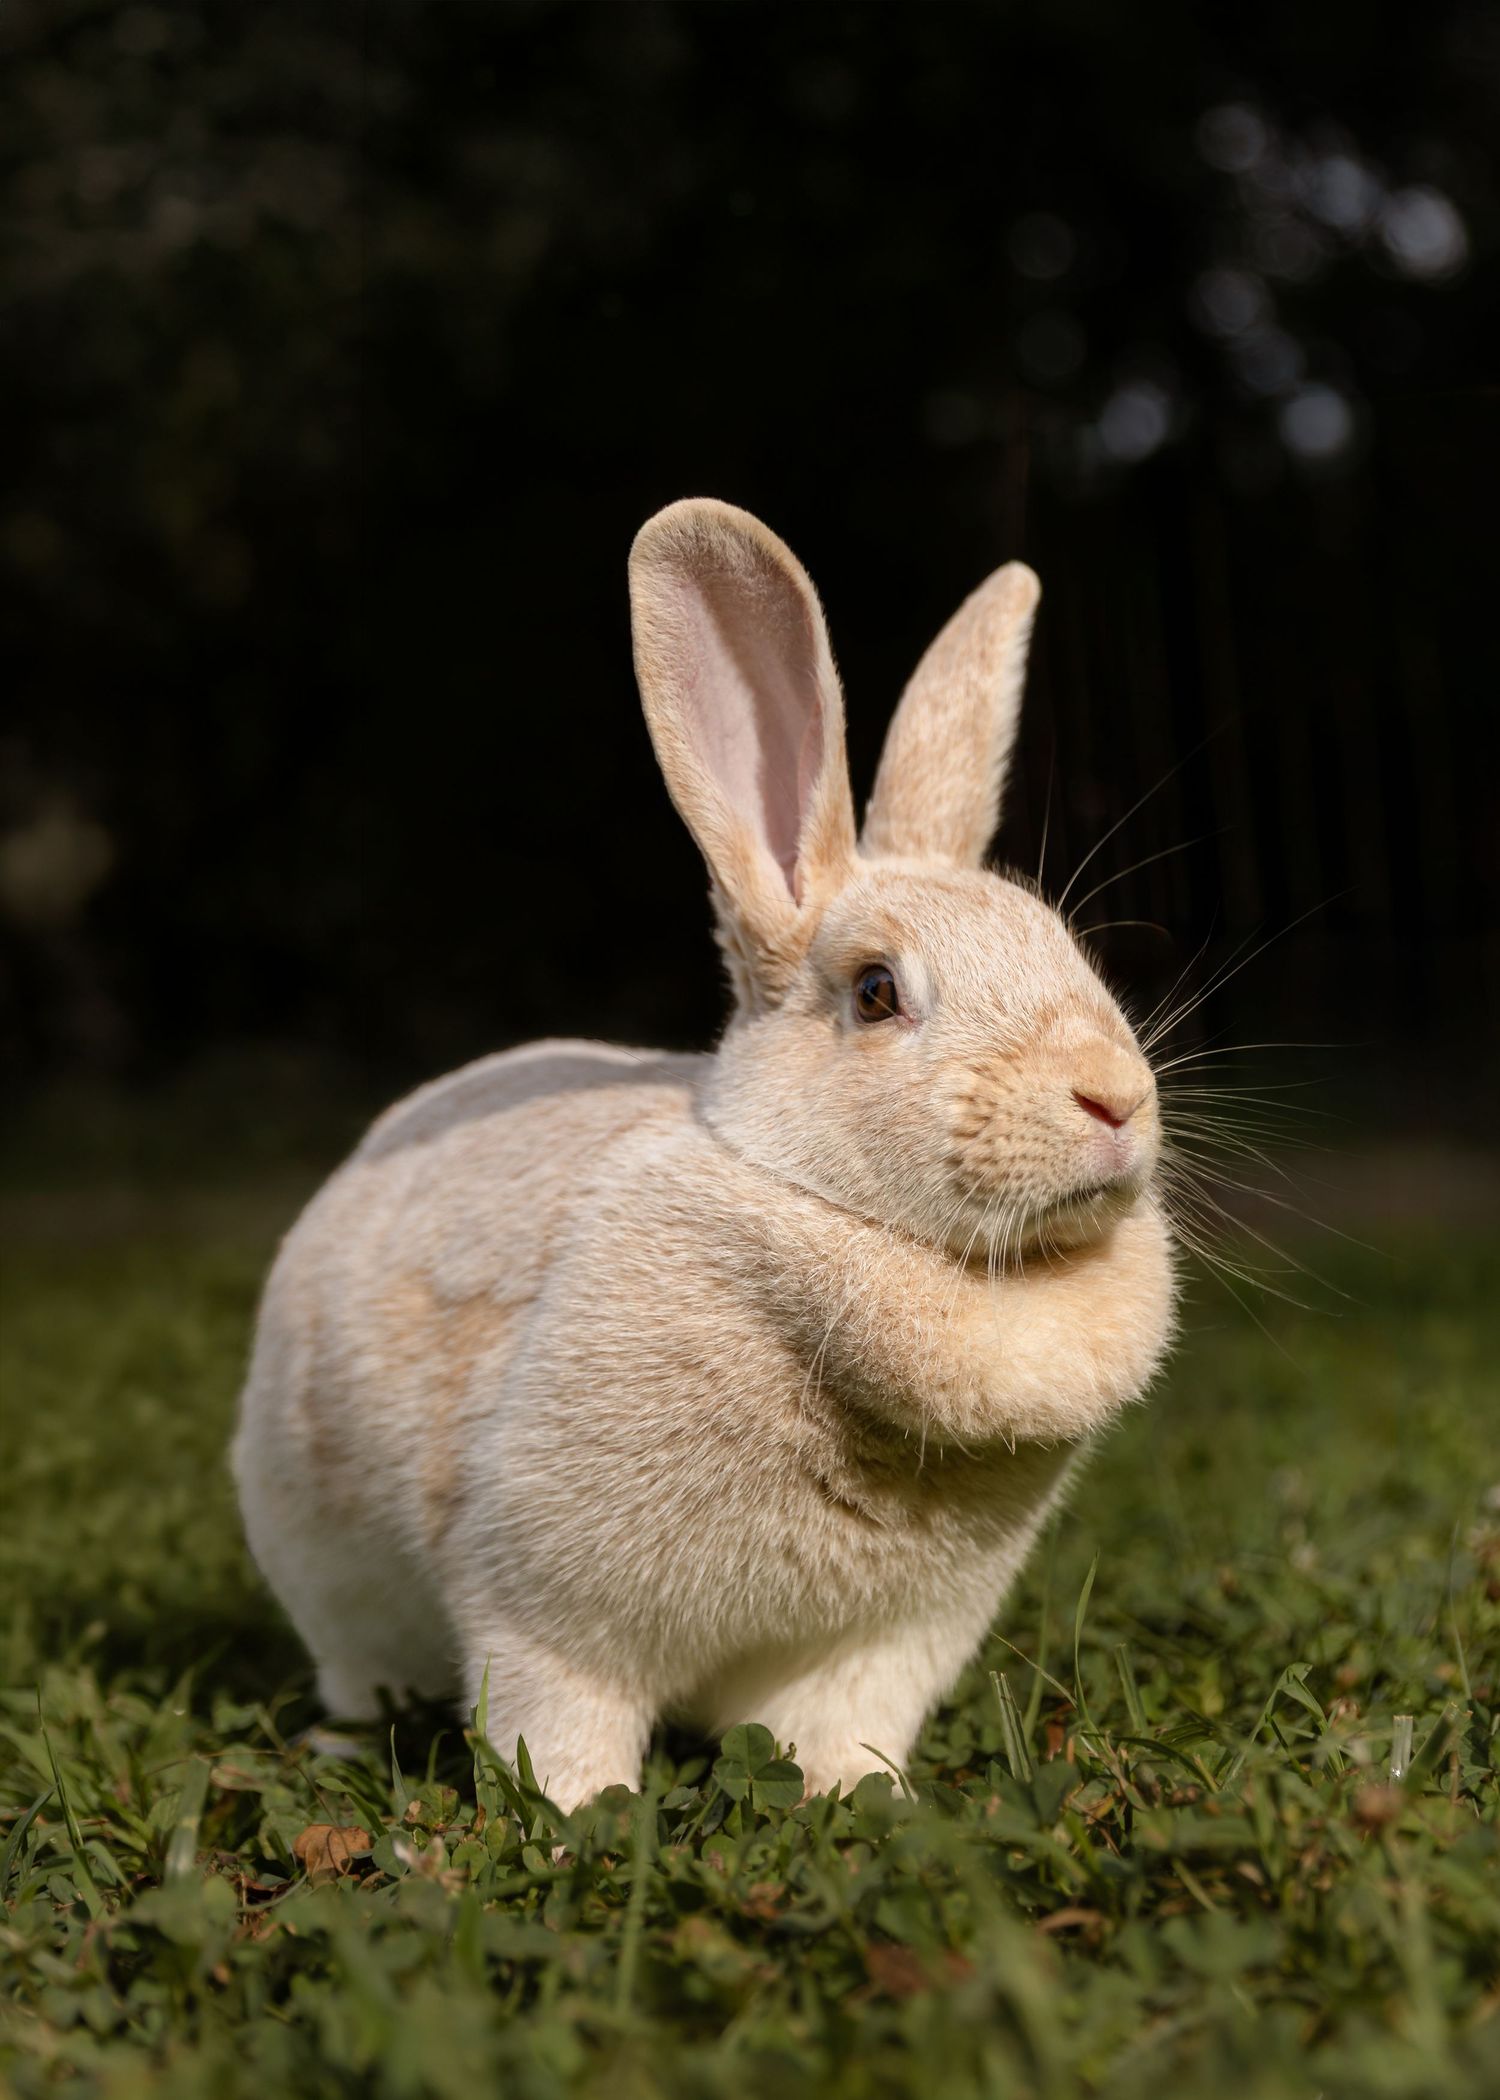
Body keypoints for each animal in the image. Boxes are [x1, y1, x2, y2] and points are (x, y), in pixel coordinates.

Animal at [232, 498, 1177, 1810]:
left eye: (1063, 944)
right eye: (876, 993)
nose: (1115, 1097)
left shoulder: (884, 1647)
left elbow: (837, 1734)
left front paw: (856, 1801)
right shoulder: (547, 1613)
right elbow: (557, 1723)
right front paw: (578, 1814)